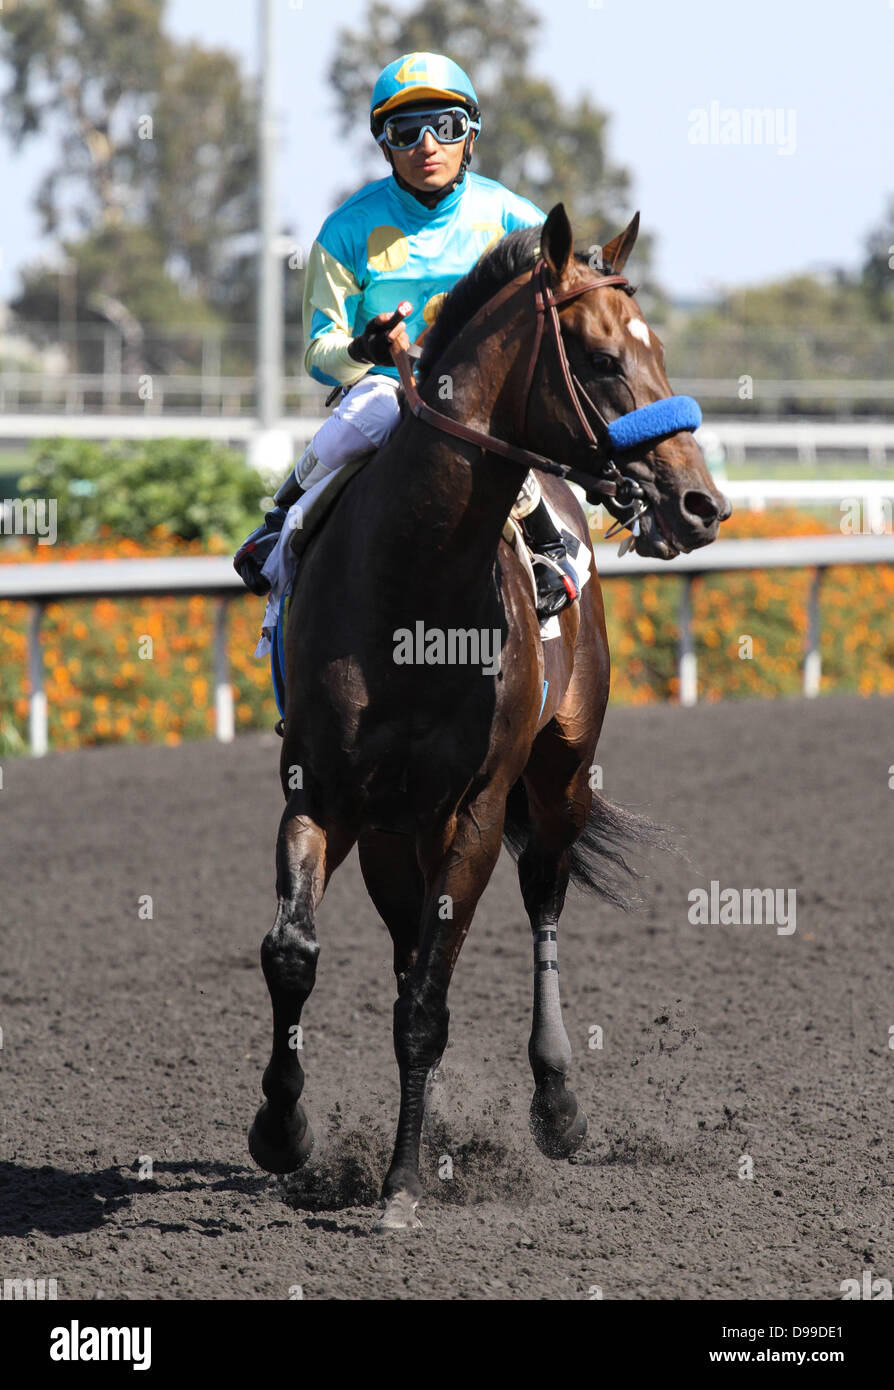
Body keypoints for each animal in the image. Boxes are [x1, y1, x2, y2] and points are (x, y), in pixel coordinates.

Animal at [248, 198, 728, 1228]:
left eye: (657, 346)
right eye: (600, 358)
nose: (699, 503)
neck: (412, 584)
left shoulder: (473, 808)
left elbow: (427, 1006)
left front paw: (399, 1186)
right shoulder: (321, 792)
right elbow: (295, 953)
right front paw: (282, 1129)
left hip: (558, 776)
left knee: (540, 893)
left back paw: (557, 1105)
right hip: (394, 830)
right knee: (405, 947)